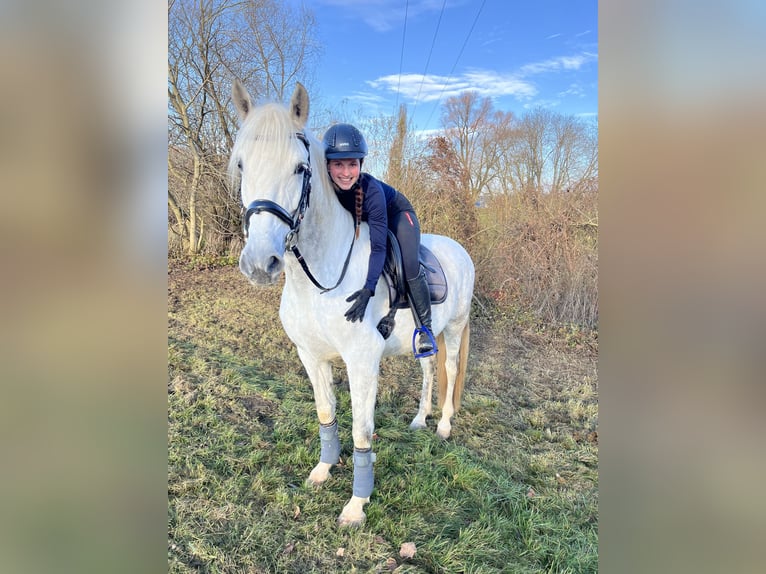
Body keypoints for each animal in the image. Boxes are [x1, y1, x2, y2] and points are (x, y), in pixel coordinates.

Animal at [231, 81, 476, 532]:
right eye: (241, 165)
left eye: (300, 168)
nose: (259, 263)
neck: (319, 281)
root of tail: (459, 248)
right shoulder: (311, 356)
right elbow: (326, 414)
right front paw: (323, 470)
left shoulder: (362, 362)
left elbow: (363, 431)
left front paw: (356, 505)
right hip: (425, 337)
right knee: (429, 370)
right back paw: (420, 420)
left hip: (455, 327)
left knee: (450, 371)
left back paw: (444, 427)